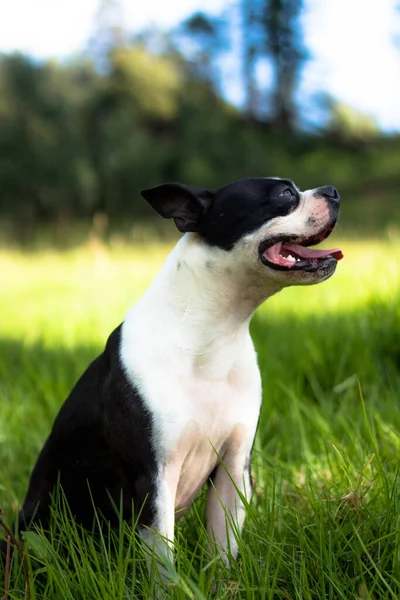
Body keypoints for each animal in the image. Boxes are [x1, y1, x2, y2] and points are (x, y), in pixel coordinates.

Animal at [2, 177, 340, 572]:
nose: (333, 191)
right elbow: (164, 562)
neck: (211, 335)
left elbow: (223, 548)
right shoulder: (154, 480)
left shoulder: (234, 468)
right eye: (285, 195)